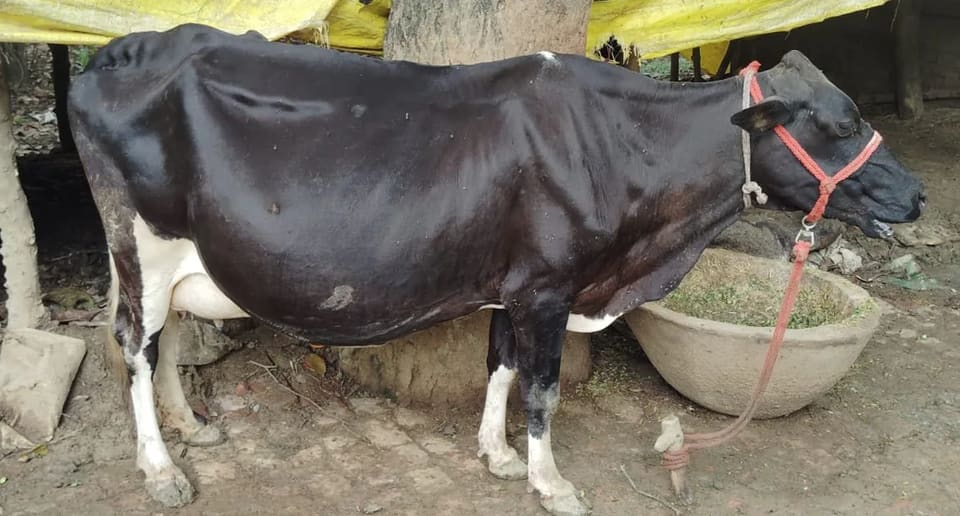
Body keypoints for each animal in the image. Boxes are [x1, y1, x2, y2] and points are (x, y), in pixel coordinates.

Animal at [68, 24, 923, 515]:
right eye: (842, 122)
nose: (916, 194)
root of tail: (118, 52)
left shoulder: (516, 282)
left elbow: (501, 365)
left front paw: (500, 456)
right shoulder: (548, 284)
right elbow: (541, 386)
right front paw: (553, 482)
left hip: (167, 252)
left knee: (163, 336)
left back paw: (191, 428)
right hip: (140, 238)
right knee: (134, 342)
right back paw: (160, 469)